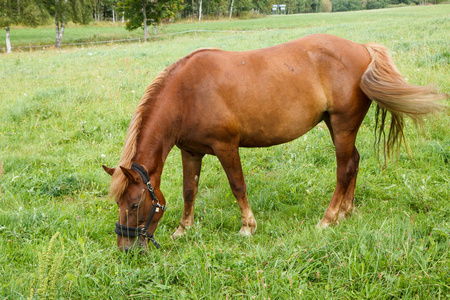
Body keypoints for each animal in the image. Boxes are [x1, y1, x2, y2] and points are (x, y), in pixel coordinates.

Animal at [103, 32, 446, 251]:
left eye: (134, 204)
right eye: (119, 203)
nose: (126, 248)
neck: (187, 93)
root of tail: (362, 47)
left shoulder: (226, 147)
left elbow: (237, 186)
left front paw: (247, 227)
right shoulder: (191, 152)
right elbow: (190, 191)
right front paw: (183, 229)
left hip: (343, 125)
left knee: (344, 170)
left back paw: (328, 219)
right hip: (335, 125)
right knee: (355, 161)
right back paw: (346, 212)